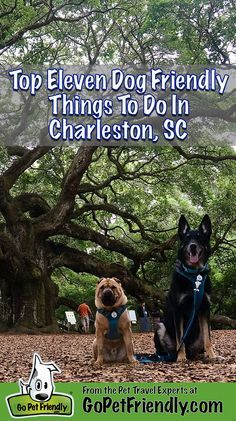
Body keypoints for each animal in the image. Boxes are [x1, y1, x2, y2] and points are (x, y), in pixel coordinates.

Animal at [154, 215, 215, 360]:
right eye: (187, 238)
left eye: (199, 237)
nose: (192, 246)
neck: (193, 275)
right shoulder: (178, 310)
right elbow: (180, 337)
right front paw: (181, 357)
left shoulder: (205, 309)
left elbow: (208, 339)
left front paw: (212, 355)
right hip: (160, 326)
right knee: (165, 349)